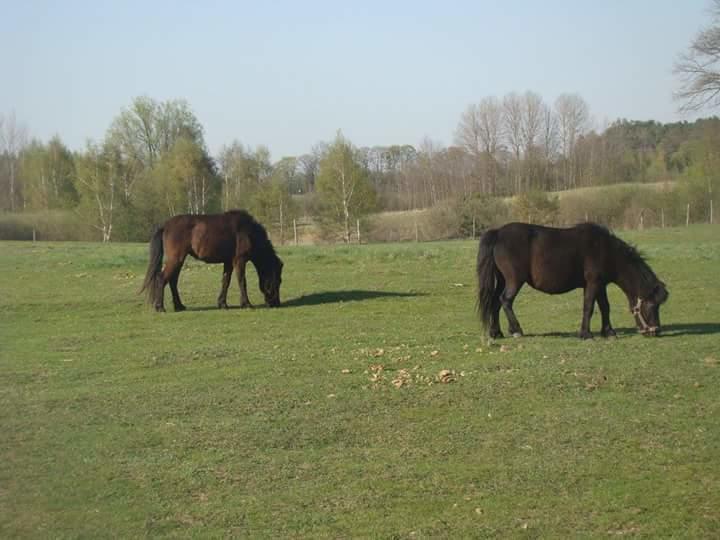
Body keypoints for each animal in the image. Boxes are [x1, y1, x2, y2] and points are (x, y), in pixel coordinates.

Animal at [141, 210, 284, 312]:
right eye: (278, 280)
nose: (276, 303)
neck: (248, 232)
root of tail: (165, 225)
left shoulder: (228, 262)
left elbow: (225, 281)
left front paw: (223, 304)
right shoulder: (240, 260)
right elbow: (242, 281)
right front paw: (246, 304)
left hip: (178, 260)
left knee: (172, 281)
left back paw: (179, 306)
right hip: (175, 259)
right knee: (162, 278)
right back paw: (160, 307)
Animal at [478, 223, 668, 340]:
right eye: (652, 305)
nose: (655, 331)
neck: (606, 250)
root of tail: (498, 233)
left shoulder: (600, 285)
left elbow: (605, 307)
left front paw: (608, 332)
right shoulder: (593, 283)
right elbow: (589, 307)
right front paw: (586, 334)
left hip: (502, 280)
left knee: (495, 303)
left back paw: (496, 333)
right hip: (514, 281)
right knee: (505, 301)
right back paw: (516, 330)